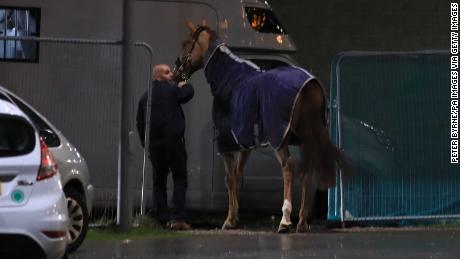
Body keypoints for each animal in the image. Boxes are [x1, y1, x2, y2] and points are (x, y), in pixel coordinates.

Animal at [174, 21, 346, 235]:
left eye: (186, 43)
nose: (176, 72)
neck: (231, 80)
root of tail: (310, 85)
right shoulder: (245, 144)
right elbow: (238, 175)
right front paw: (235, 217)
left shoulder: (226, 143)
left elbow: (230, 178)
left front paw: (229, 220)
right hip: (305, 137)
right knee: (307, 170)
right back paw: (302, 221)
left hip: (279, 138)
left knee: (288, 167)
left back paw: (285, 220)